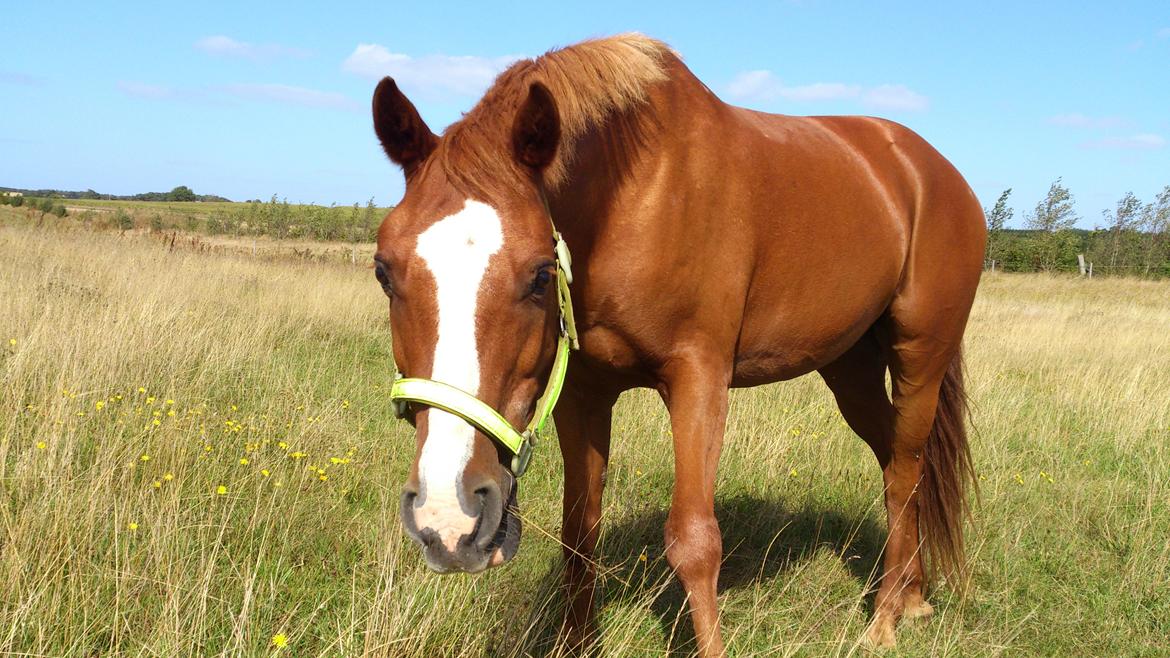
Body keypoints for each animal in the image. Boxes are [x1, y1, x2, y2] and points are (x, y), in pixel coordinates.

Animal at [369, 32, 982, 650]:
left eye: (541, 274)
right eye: (383, 272)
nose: (448, 517)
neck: (634, 199)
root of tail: (935, 172)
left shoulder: (698, 379)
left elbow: (694, 541)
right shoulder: (582, 395)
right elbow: (579, 532)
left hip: (920, 357)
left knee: (905, 471)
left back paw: (885, 619)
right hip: (849, 367)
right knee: (897, 461)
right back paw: (912, 594)